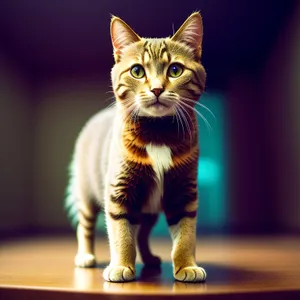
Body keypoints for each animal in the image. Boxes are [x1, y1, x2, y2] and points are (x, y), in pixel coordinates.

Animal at [65, 11, 206, 282]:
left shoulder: (183, 192)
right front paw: (121, 266)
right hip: (87, 192)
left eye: (175, 70)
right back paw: (85, 256)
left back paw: (149, 258)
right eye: (137, 71)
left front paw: (186, 266)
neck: (158, 132)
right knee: (85, 226)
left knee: (142, 233)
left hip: (148, 209)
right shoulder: (119, 192)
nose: (157, 89)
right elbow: (122, 234)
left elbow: (186, 235)